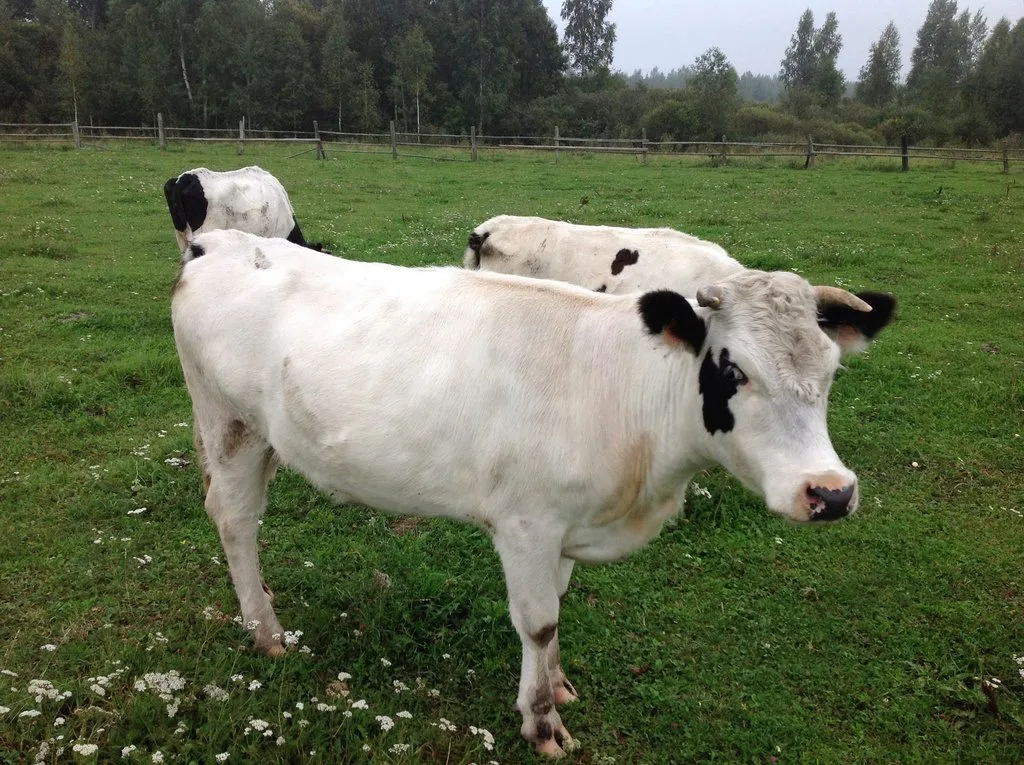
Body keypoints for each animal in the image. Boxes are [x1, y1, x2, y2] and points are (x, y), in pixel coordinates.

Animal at [174, 230, 897, 757]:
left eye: (832, 370)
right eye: (733, 371)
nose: (831, 492)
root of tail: (222, 241)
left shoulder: (568, 526)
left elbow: (559, 609)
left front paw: (557, 683)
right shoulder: (525, 524)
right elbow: (539, 619)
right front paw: (542, 723)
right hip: (230, 425)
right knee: (236, 520)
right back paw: (266, 630)